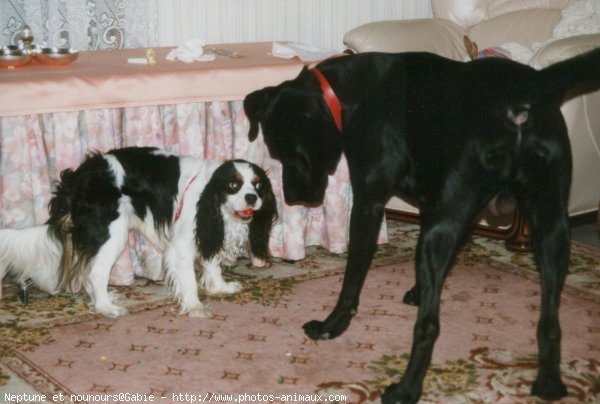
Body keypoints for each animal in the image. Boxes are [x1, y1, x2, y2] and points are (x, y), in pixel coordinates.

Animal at [244, 49, 600, 404]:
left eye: (292, 155)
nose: (291, 198)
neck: (352, 91)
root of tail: (527, 88)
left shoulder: (369, 204)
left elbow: (351, 281)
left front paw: (332, 325)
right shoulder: (434, 204)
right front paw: (418, 290)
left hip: (446, 225)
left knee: (428, 325)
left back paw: (406, 388)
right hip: (552, 227)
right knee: (550, 320)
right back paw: (549, 382)